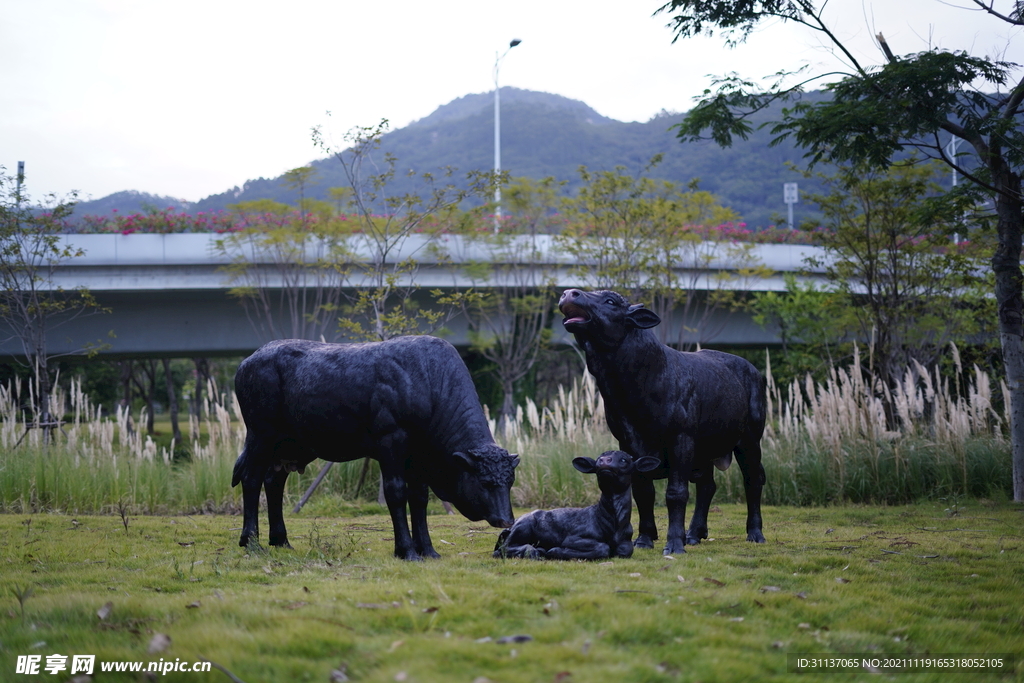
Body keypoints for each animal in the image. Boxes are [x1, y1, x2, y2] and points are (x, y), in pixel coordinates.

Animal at [232, 335, 520, 561]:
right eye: (484, 483)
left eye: (510, 482)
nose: (507, 519)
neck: (428, 381)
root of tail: (250, 359)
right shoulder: (390, 441)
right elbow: (396, 492)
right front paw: (406, 550)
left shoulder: (418, 455)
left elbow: (419, 498)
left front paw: (428, 550)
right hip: (261, 435)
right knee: (251, 478)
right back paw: (252, 542)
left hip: (290, 446)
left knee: (274, 482)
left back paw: (280, 540)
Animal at [491, 450, 659, 557]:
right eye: (597, 460)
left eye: (625, 460)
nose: (604, 461)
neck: (612, 526)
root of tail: (511, 526)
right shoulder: (573, 537)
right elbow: (602, 547)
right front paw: (555, 551)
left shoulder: (627, 541)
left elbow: (626, 550)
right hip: (523, 527)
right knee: (502, 549)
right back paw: (536, 551)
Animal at [557, 288, 765, 557]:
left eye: (610, 301)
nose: (569, 293)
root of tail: (753, 371)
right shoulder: (628, 440)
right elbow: (643, 491)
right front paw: (644, 539)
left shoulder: (681, 438)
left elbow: (676, 492)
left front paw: (674, 544)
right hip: (705, 449)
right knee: (707, 485)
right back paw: (694, 534)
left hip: (749, 439)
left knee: (753, 480)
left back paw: (755, 533)